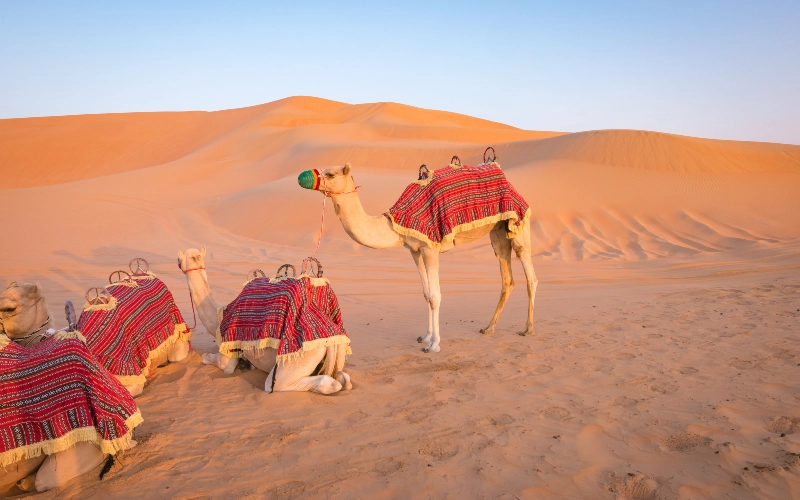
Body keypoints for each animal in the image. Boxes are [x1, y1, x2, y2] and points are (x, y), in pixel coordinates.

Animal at [177, 248, 352, 394]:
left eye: (180, 258)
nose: (177, 262)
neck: (218, 316)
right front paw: (246, 364)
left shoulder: (227, 349)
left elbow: (210, 359)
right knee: (344, 378)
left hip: (296, 360)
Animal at [297, 161, 538, 353]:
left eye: (330, 174)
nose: (303, 176)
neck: (395, 222)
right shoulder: (415, 250)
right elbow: (426, 294)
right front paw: (426, 336)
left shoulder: (430, 248)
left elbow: (435, 296)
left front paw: (434, 344)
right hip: (498, 232)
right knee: (507, 277)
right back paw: (489, 328)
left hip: (519, 223)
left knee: (530, 275)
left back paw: (528, 329)